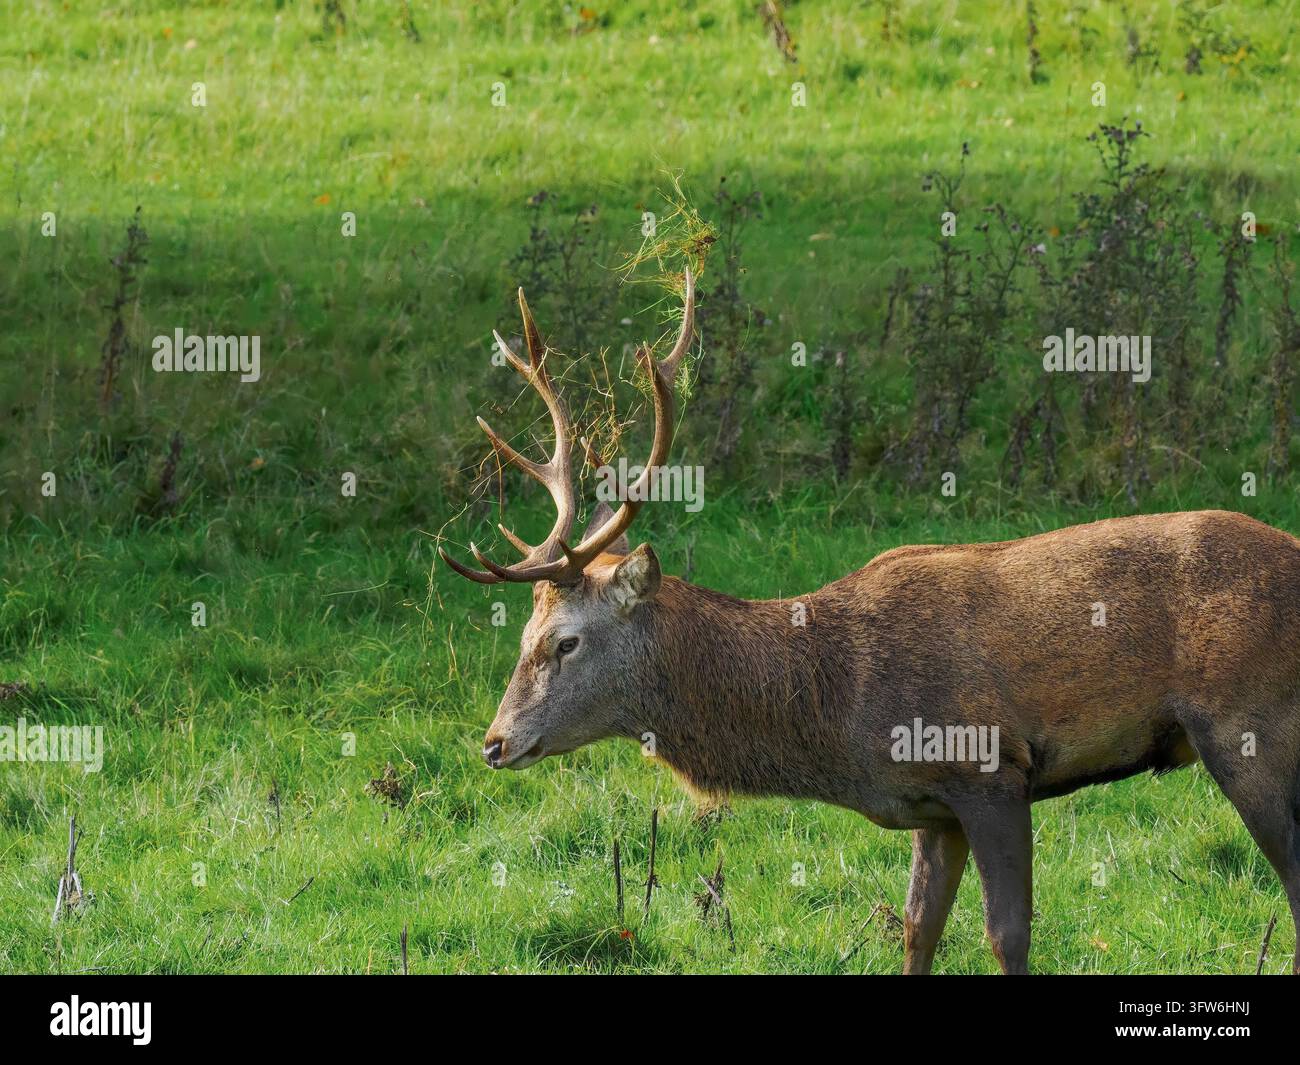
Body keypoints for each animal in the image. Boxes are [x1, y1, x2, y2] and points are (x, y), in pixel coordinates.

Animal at [441, 268, 1300, 975]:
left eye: (566, 641)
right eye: (522, 638)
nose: (494, 741)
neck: (840, 710)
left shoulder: (989, 767)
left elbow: (1007, 935)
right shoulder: (934, 806)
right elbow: (918, 930)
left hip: (1247, 725)